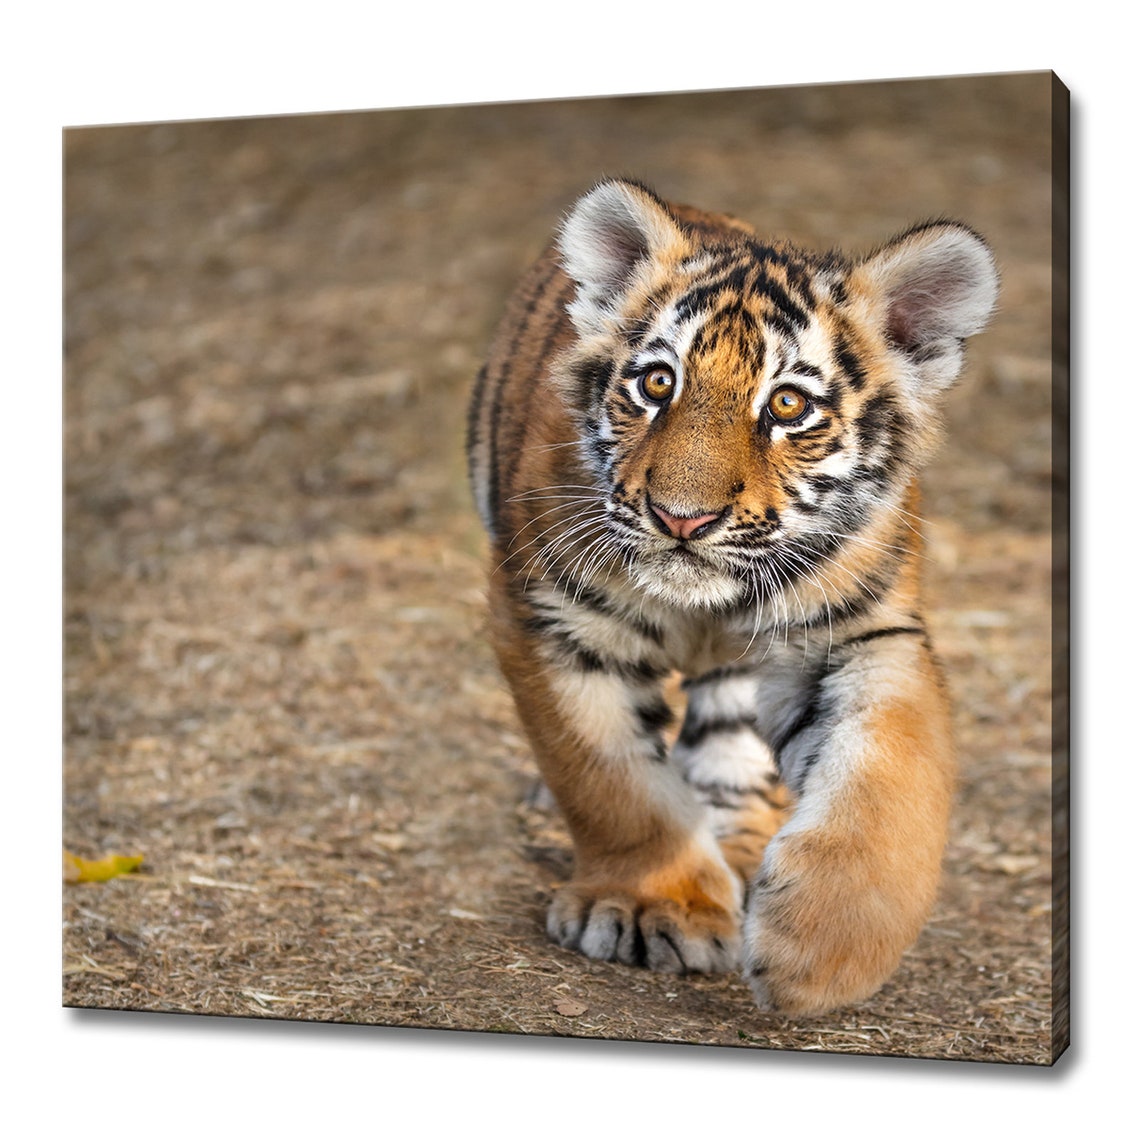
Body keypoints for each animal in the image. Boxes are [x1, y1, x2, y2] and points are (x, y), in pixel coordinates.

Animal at [466, 178, 998, 1016]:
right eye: (657, 384)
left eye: (787, 408)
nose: (681, 517)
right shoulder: (556, 621)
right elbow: (609, 779)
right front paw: (656, 907)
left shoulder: (859, 635)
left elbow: (890, 778)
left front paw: (820, 952)